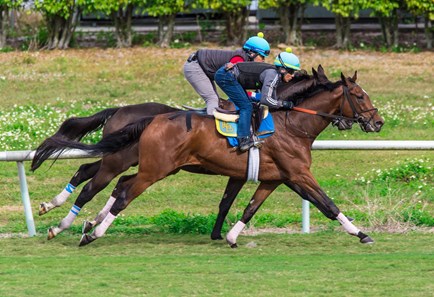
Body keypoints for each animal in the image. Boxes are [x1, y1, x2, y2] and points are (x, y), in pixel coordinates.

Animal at [39, 70, 384, 246]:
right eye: (360, 95)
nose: (378, 122)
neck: (290, 124)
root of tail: (143, 117)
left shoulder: (274, 178)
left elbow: (246, 206)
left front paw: (228, 235)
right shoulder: (298, 174)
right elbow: (327, 203)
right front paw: (361, 233)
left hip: (145, 165)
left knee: (109, 182)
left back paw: (79, 221)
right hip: (139, 165)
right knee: (104, 186)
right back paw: (82, 228)